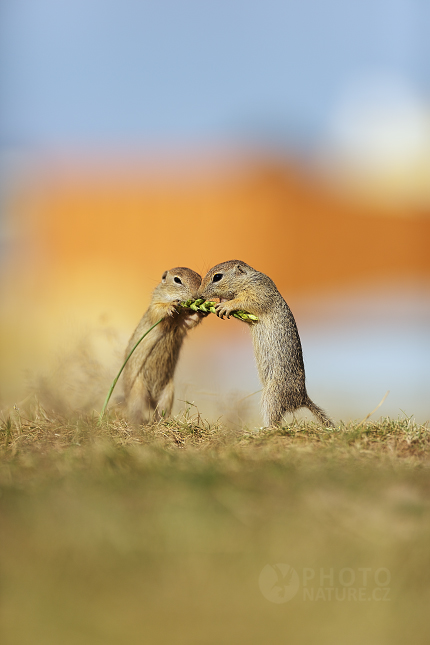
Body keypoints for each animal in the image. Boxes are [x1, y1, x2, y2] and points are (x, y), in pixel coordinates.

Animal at [123, 264, 204, 426]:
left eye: (200, 278)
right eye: (177, 280)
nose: (197, 296)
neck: (175, 318)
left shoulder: (182, 322)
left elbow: (191, 320)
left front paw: (203, 310)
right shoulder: (154, 307)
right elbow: (159, 309)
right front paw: (170, 306)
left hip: (168, 393)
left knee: (160, 411)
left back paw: (161, 421)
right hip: (137, 392)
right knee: (136, 411)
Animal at [198, 260, 332, 426]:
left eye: (217, 277)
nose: (199, 294)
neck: (246, 280)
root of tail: (302, 399)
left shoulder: (258, 292)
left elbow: (246, 302)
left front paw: (225, 305)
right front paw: (222, 302)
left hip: (272, 395)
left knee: (274, 420)